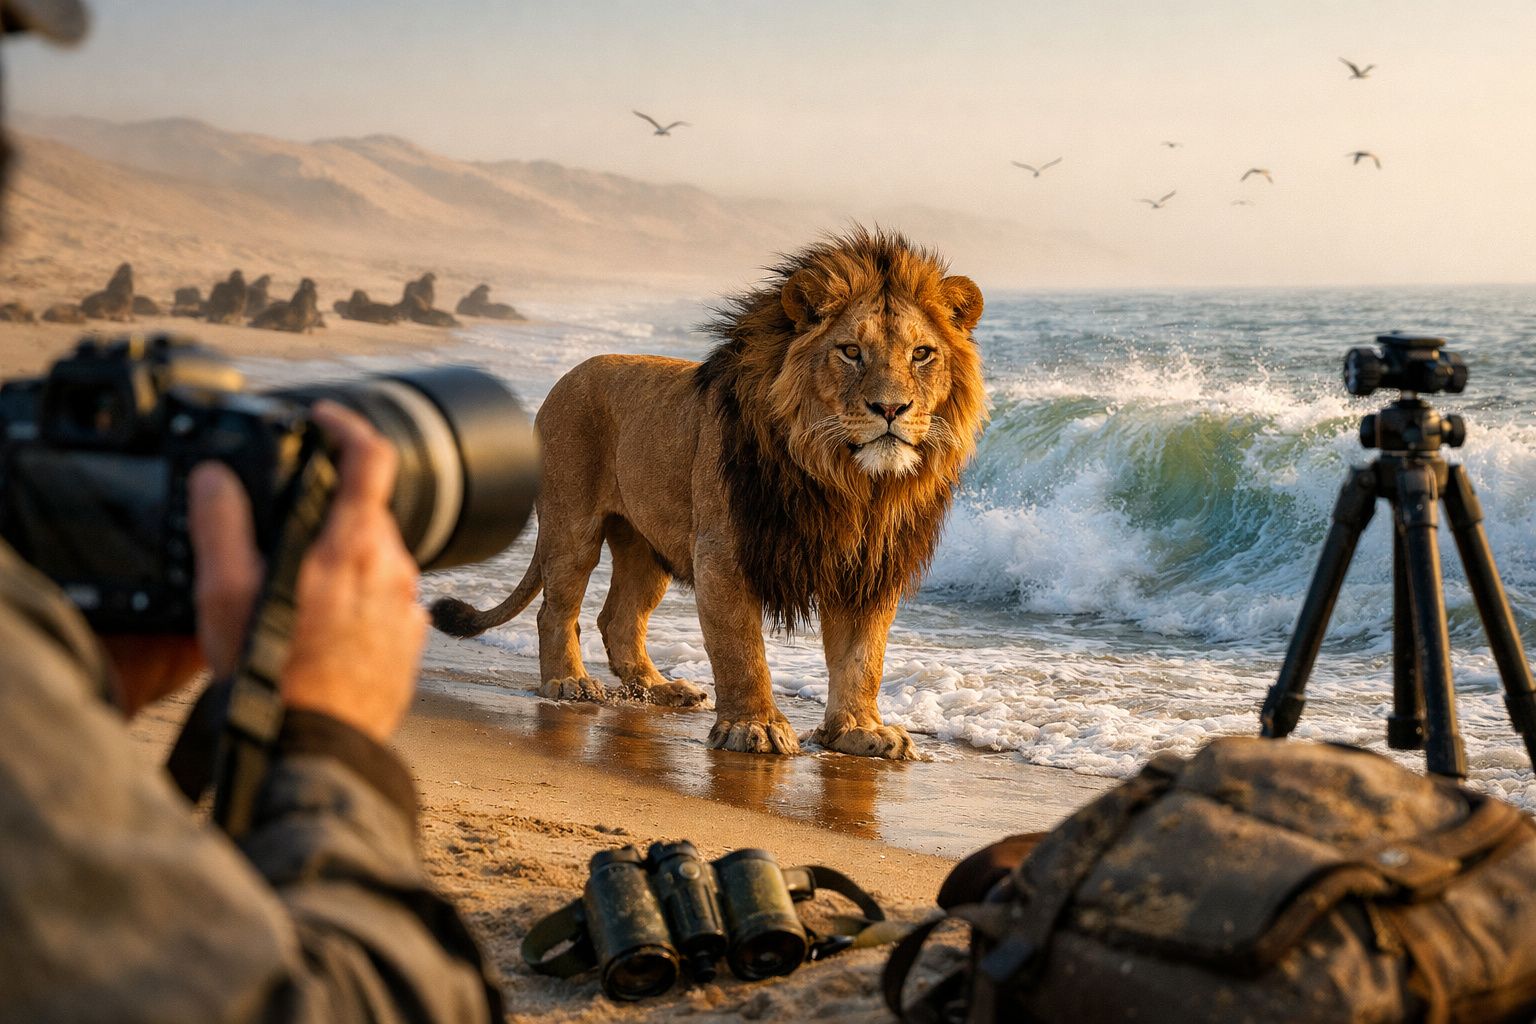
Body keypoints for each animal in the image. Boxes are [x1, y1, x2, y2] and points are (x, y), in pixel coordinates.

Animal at [430, 228, 986, 759]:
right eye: (851, 351)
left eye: (921, 354)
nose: (890, 409)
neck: (849, 483)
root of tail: (568, 376)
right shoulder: (723, 553)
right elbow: (741, 648)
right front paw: (753, 727)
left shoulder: (868, 568)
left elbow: (863, 658)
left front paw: (860, 731)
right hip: (572, 527)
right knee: (556, 609)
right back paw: (568, 682)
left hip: (646, 545)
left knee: (618, 619)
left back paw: (662, 690)